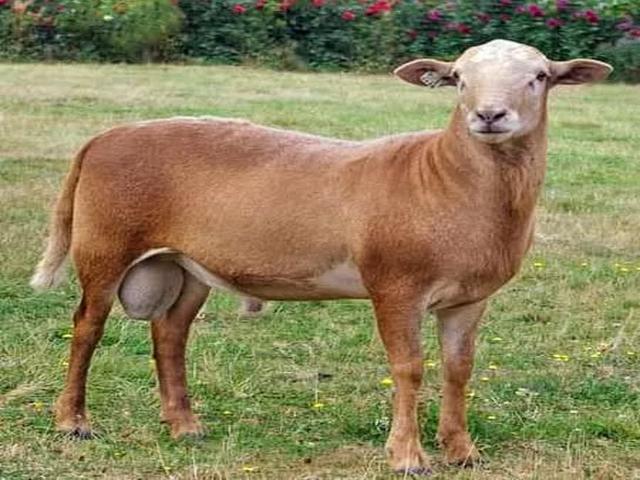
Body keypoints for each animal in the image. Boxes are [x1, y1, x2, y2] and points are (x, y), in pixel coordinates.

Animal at [31, 39, 611, 474]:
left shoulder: (470, 298)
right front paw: (407, 456)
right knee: (87, 327)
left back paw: (185, 426)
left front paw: (463, 451)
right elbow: (408, 368)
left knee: (170, 333)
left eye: (539, 76)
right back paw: (73, 422)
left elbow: (458, 369)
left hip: (185, 263)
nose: (490, 115)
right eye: (460, 79)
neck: (444, 178)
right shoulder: (395, 285)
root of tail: (104, 137)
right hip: (105, 242)